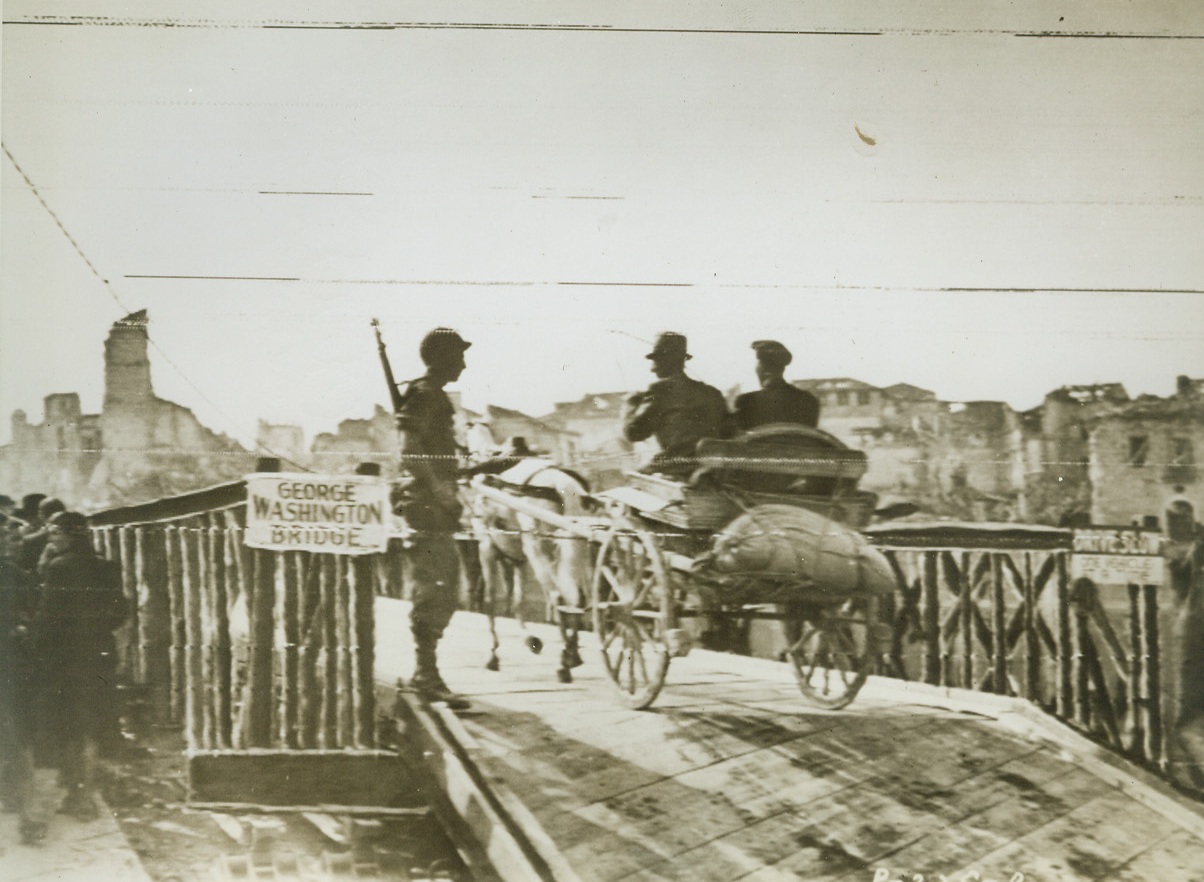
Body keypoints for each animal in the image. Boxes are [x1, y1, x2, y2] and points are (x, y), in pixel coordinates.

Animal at [469, 454, 597, 683]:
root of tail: (561, 484)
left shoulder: (487, 548)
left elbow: (490, 601)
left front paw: (493, 654)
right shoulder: (518, 560)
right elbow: (518, 601)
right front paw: (530, 640)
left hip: (538, 549)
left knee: (558, 596)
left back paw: (564, 663)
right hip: (574, 547)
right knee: (578, 599)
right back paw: (572, 655)